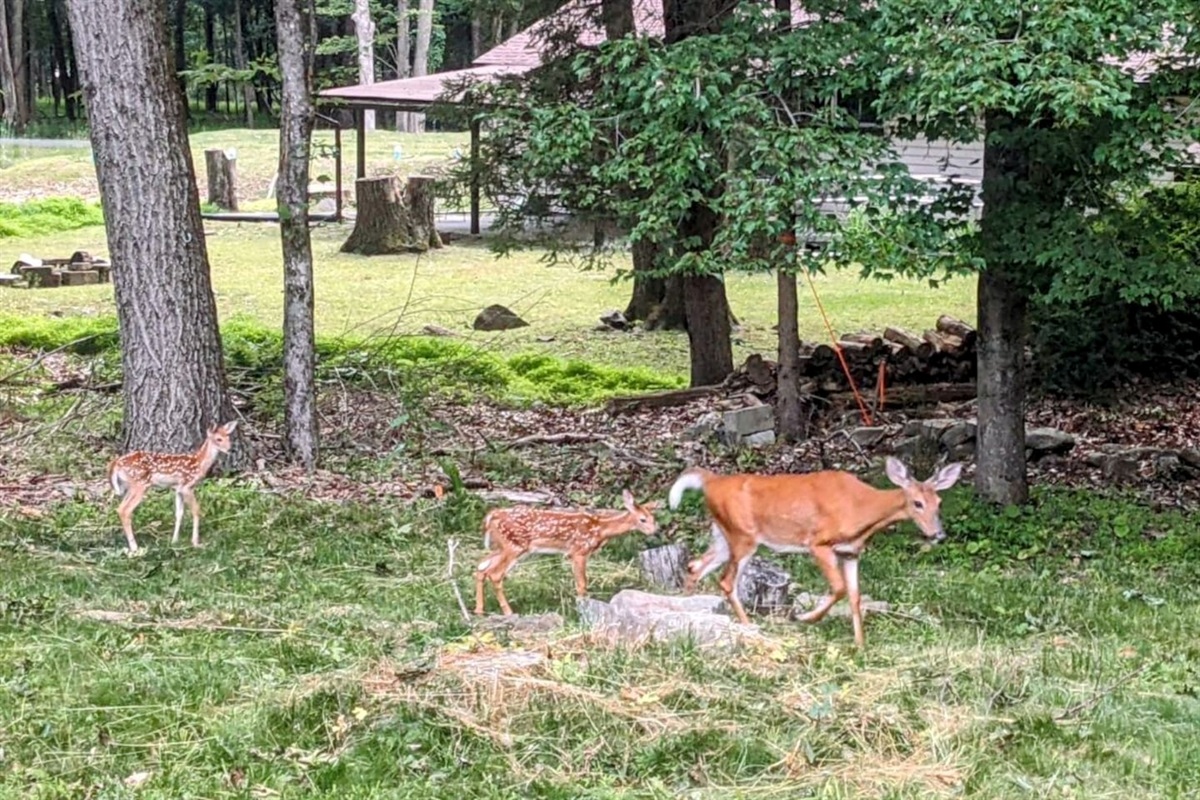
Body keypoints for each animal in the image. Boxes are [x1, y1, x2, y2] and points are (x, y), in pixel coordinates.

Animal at [106, 421, 238, 553]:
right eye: (219, 439)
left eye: (229, 437)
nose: (230, 449)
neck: (199, 463)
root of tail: (115, 463)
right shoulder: (187, 486)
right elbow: (196, 510)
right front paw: (196, 543)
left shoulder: (178, 489)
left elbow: (179, 513)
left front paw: (174, 541)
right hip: (140, 484)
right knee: (125, 510)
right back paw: (135, 547)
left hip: (130, 486)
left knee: (120, 508)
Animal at [474, 489, 661, 616]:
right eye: (643, 520)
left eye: (654, 519)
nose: (655, 531)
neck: (600, 528)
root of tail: (491, 516)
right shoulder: (578, 551)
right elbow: (582, 584)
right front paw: (583, 608)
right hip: (514, 546)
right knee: (495, 574)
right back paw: (508, 612)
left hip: (502, 547)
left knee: (481, 568)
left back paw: (479, 610)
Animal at [667, 457, 963, 647]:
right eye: (917, 503)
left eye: (939, 502)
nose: (939, 534)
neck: (861, 509)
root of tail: (710, 481)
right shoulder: (818, 544)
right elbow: (839, 589)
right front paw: (805, 618)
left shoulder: (851, 552)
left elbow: (855, 597)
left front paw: (860, 646)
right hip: (743, 536)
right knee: (727, 581)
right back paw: (750, 626)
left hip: (722, 536)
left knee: (695, 566)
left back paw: (688, 609)